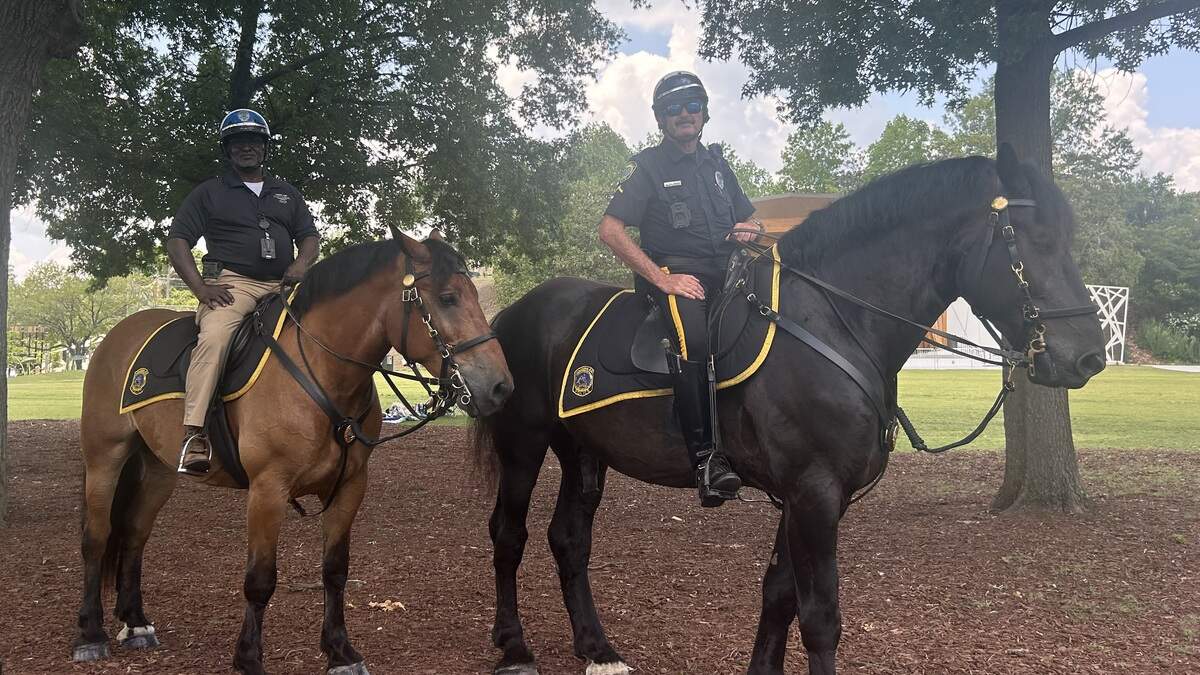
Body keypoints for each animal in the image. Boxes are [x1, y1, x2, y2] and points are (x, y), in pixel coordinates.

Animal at [73, 232, 513, 675]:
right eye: (447, 297)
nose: (500, 386)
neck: (320, 371)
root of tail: (121, 332)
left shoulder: (349, 488)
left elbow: (334, 571)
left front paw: (340, 651)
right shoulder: (268, 490)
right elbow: (260, 579)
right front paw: (249, 657)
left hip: (158, 470)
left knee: (134, 533)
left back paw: (136, 622)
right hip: (105, 458)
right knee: (97, 536)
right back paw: (91, 633)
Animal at [472, 146, 1107, 675]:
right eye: (1034, 240)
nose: (1088, 356)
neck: (831, 321)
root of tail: (510, 314)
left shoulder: (806, 495)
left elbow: (778, 595)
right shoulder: (814, 493)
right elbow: (820, 618)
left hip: (583, 452)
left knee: (569, 538)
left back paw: (597, 648)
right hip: (523, 444)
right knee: (508, 532)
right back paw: (514, 646)